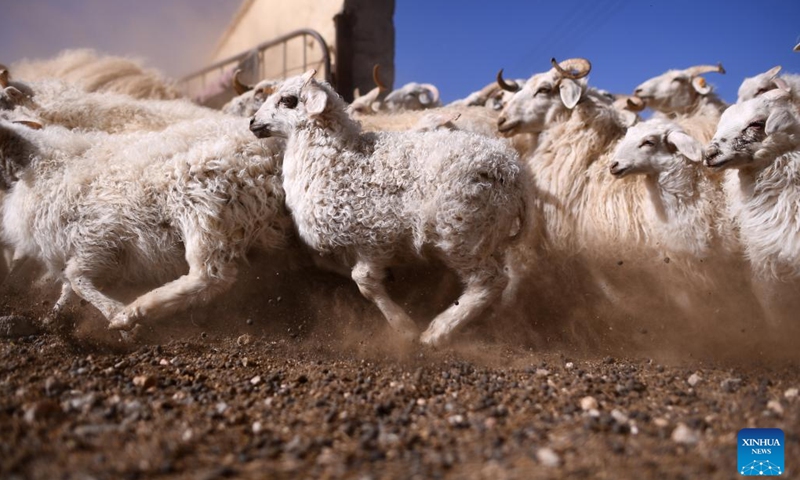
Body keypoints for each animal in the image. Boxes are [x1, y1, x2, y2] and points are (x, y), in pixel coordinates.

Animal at [0, 116, 288, 334]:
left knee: (211, 276)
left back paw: (134, 312)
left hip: (197, 201)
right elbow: (68, 286)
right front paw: (54, 314)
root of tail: (271, 154)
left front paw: (115, 314)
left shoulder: (98, 235)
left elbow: (76, 278)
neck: (49, 166)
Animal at [248, 69, 524, 344]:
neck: (336, 158)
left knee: (490, 281)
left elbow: (365, 282)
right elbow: (331, 265)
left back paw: (438, 332)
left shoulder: (373, 237)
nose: (252, 122)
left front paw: (404, 327)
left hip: (462, 234)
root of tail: (511, 168)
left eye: (287, 100)